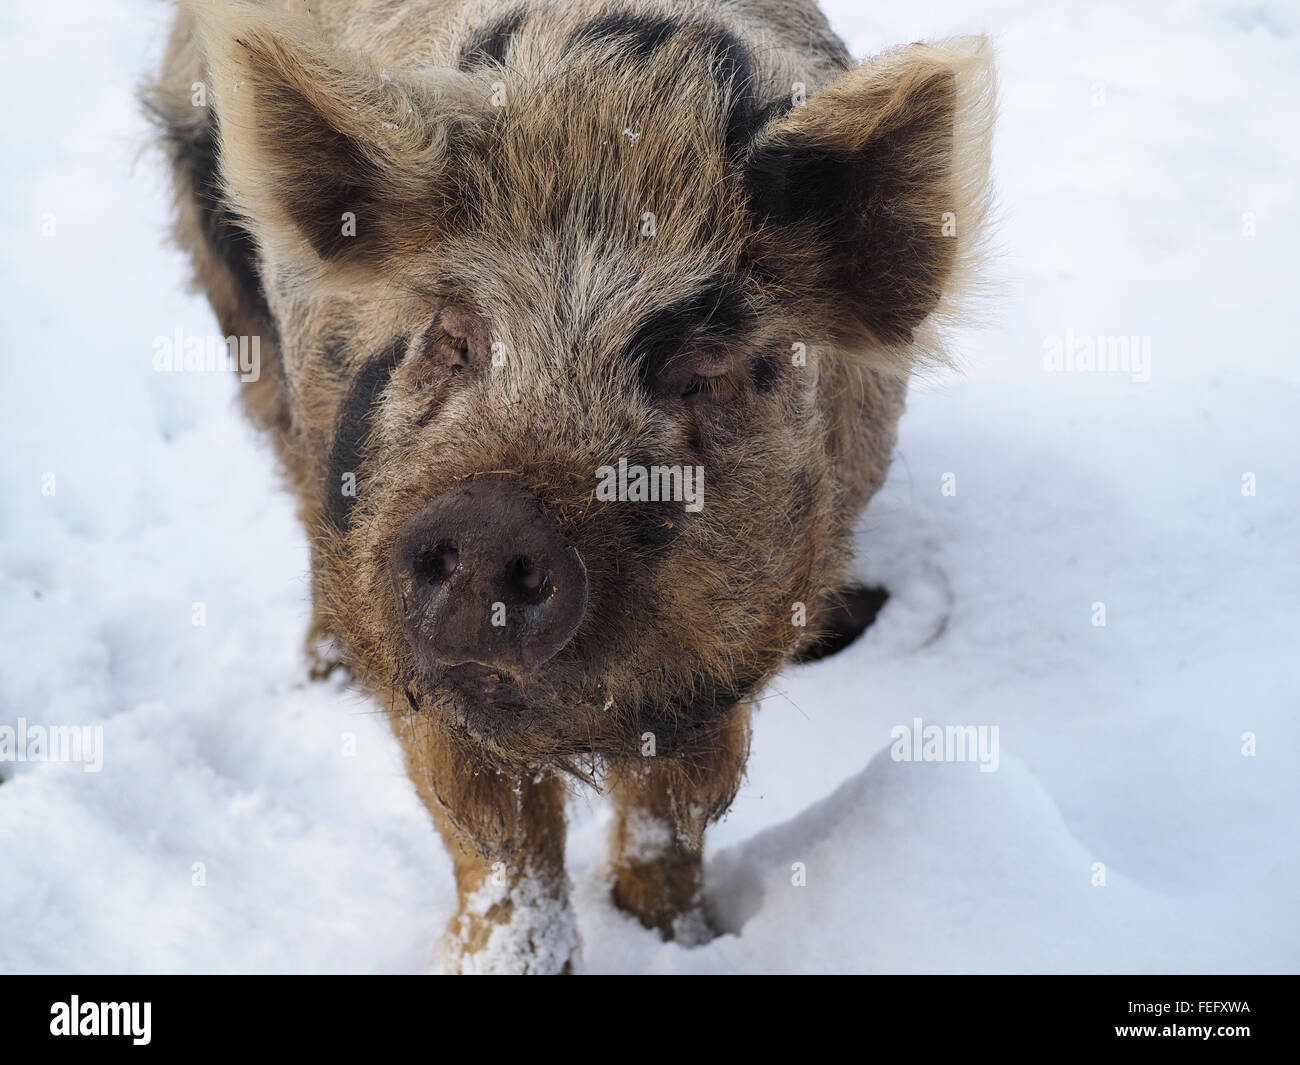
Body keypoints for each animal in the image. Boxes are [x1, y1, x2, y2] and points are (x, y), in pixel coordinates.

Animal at [144, 0, 993, 972]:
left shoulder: (725, 659)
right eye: (456, 332)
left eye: (705, 369)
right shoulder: (394, 613)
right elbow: (500, 847)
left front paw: (677, 937)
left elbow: (667, 815)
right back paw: (320, 680)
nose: (492, 517)